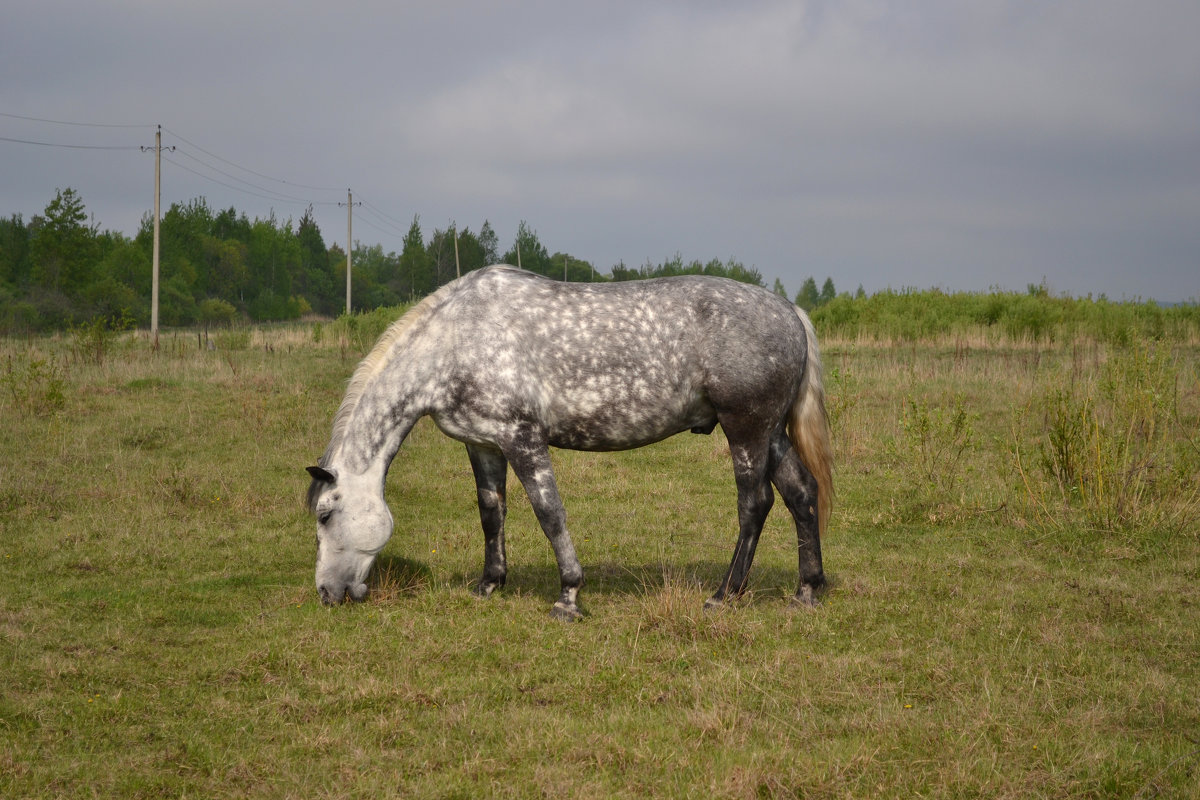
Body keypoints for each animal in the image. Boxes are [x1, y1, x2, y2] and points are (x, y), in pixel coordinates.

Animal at [307, 266, 835, 623]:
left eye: (325, 515)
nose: (327, 593)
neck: (455, 341)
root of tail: (791, 311)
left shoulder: (523, 440)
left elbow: (549, 513)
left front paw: (568, 596)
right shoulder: (485, 445)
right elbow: (491, 513)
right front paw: (489, 584)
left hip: (746, 429)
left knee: (755, 504)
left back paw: (725, 594)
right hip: (771, 433)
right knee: (801, 494)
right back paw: (807, 590)